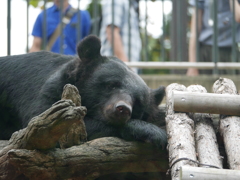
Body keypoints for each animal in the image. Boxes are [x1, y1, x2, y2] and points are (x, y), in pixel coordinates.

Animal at [0, 35, 167, 149]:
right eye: (111, 85)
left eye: (137, 102)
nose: (122, 109)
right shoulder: (45, 90)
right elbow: (43, 120)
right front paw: (153, 132)